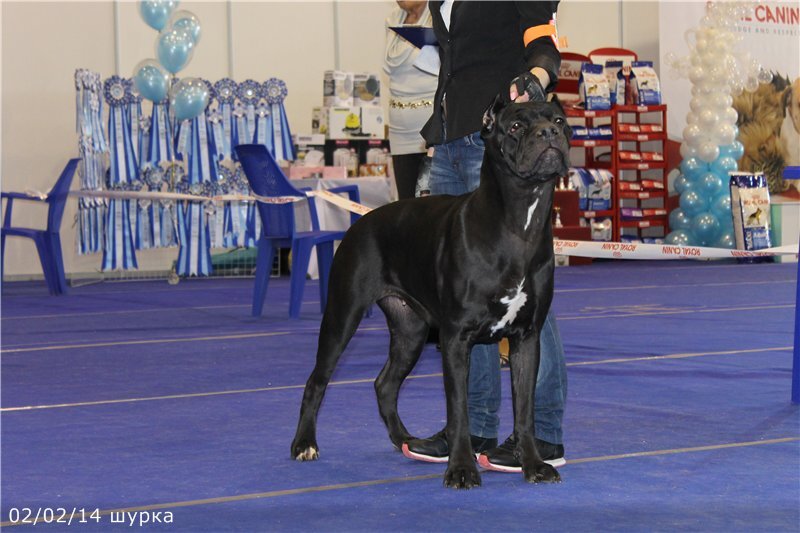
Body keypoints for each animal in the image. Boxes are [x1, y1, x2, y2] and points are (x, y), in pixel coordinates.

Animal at [290, 95, 572, 486]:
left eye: (559, 121)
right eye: (515, 126)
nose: (548, 133)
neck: (519, 221)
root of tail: (361, 220)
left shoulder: (526, 338)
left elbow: (525, 409)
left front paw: (532, 464)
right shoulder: (456, 339)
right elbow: (459, 411)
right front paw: (462, 469)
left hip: (411, 331)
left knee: (385, 384)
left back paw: (404, 439)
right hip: (342, 316)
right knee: (317, 381)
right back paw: (304, 444)